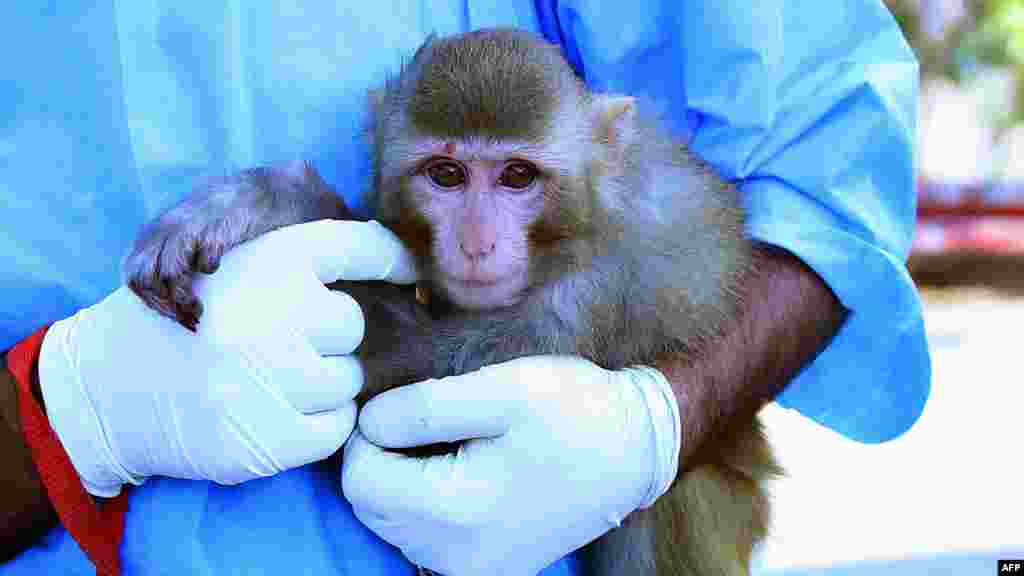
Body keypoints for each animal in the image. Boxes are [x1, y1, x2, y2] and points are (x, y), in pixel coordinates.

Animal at [125, 30, 782, 573]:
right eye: (445, 174)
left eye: (518, 175)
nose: (476, 243)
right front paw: (252, 201)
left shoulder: (599, 287)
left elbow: (424, 377)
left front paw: (283, 201)